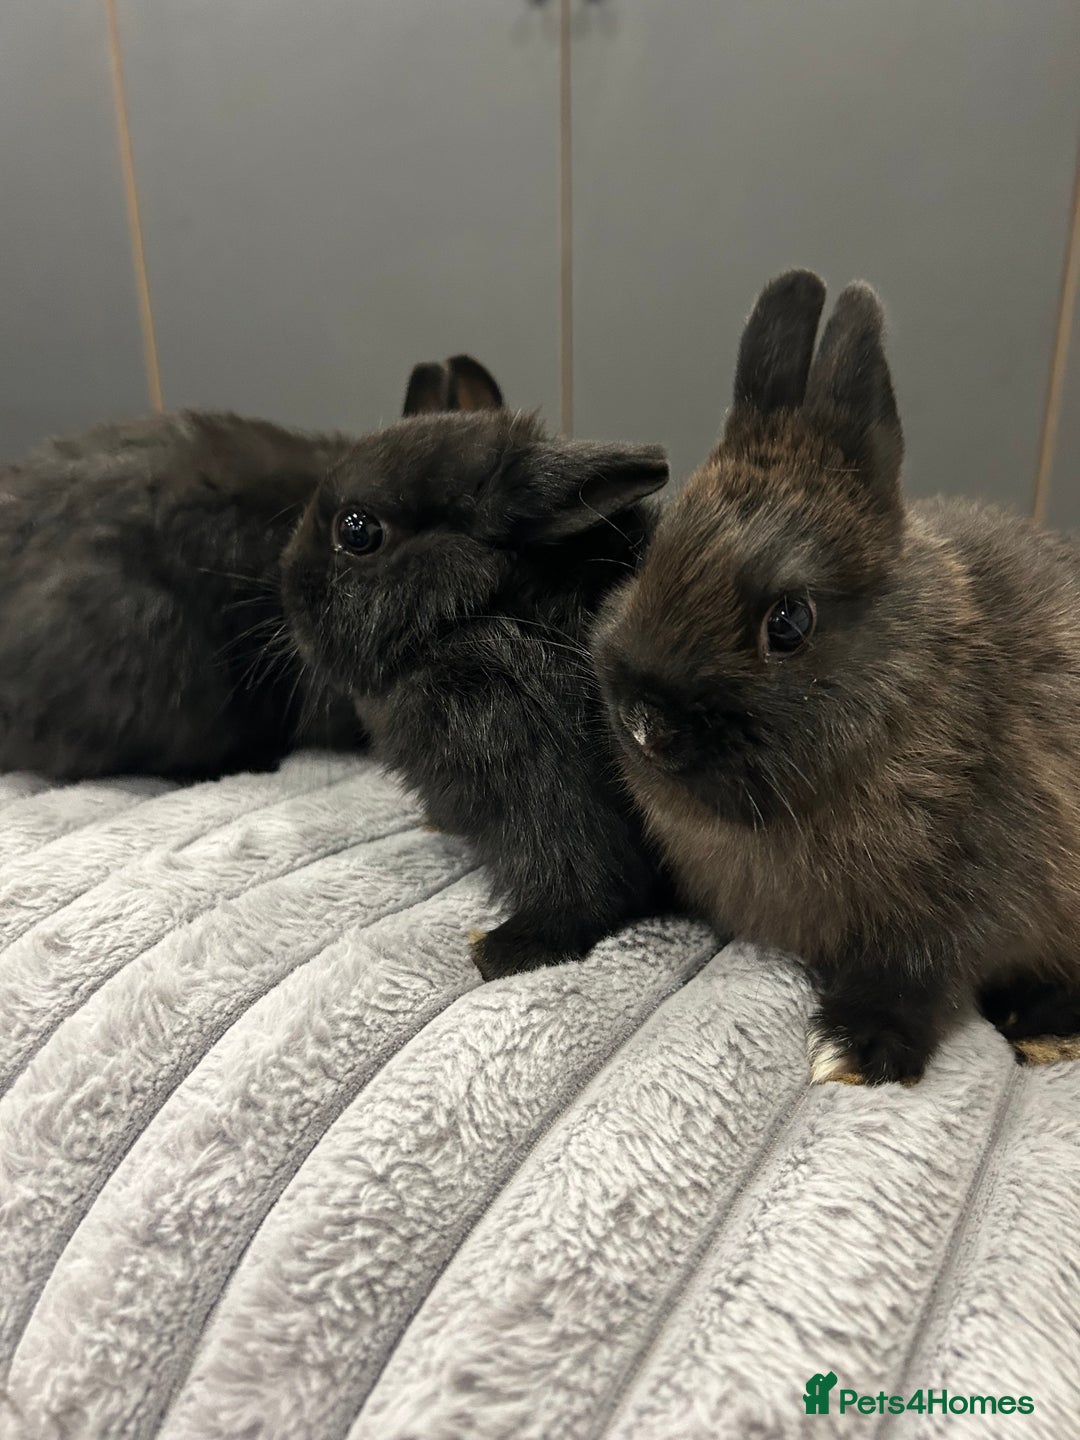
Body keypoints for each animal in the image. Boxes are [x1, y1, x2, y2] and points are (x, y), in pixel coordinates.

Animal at [279, 407, 673, 979]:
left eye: (357, 531)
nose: (286, 585)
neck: (470, 617)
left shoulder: (536, 771)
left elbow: (586, 880)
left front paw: (501, 952)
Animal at [594, 267, 1080, 1084]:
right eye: (654, 554)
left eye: (789, 622)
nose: (647, 725)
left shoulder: (972, 894)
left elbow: (921, 968)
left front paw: (852, 1050)